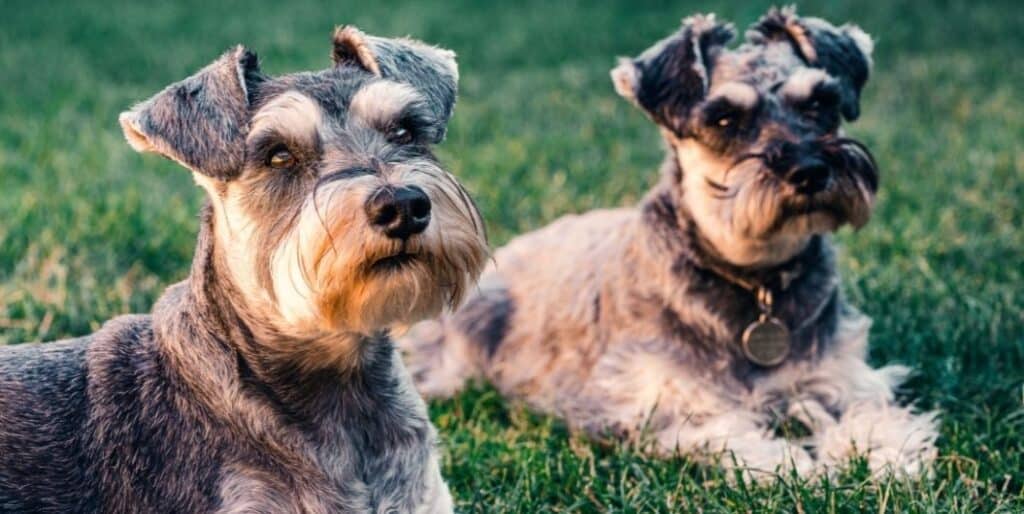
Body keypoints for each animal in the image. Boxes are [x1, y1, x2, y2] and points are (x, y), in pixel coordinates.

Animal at [399, 8, 937, 479]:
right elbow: (734, 433)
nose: (809, 171)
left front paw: (882, 456)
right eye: (724, 119)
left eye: (820, 103)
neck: (756, 280)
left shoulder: (845, 375)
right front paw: (796, 467)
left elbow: (874, 415)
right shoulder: (663, 400)